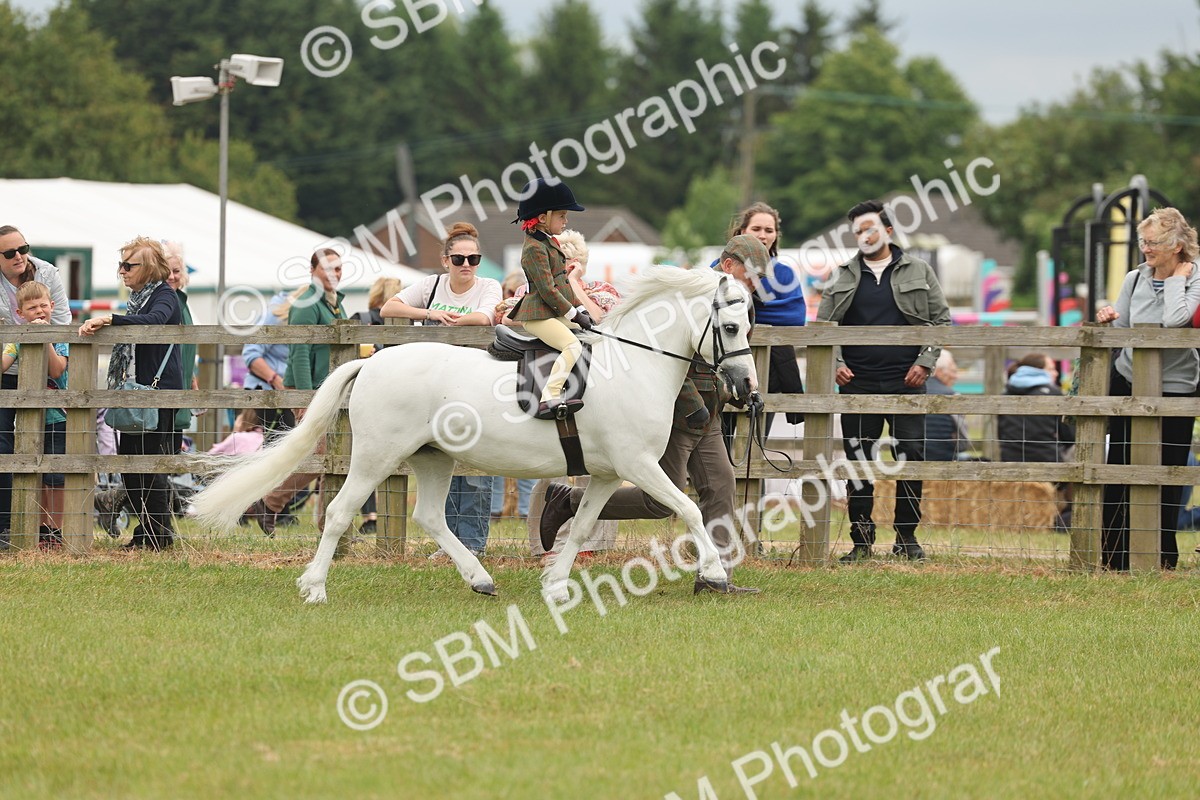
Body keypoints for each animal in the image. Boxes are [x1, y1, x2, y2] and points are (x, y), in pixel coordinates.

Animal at [190, 265, 758, 604]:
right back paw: (314, 588)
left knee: (429, 516)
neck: (634, 365)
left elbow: (579, 526)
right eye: (730, 328)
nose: (747, 387)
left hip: (434, 457)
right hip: (377, 457)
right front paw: (715, 575)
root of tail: (371, 362)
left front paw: (556, 587)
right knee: (338, 511)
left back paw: (480, 579)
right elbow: (689, 511)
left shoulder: (604, 474)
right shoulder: (638, 465)